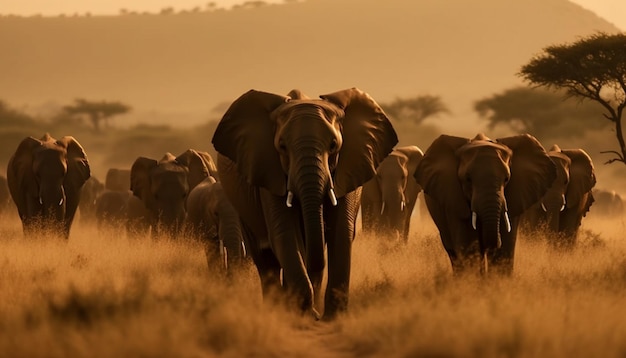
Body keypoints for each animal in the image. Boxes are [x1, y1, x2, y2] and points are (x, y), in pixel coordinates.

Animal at [210, 86, 394, 318]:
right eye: (282, 146)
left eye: (334, 145)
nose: (317, 314)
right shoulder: (268, 171)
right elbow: (284, 233)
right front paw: (304, 317)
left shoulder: (348, 168)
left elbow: (341, 231)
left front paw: (333, 318)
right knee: (265, 257)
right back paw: (277, 309)